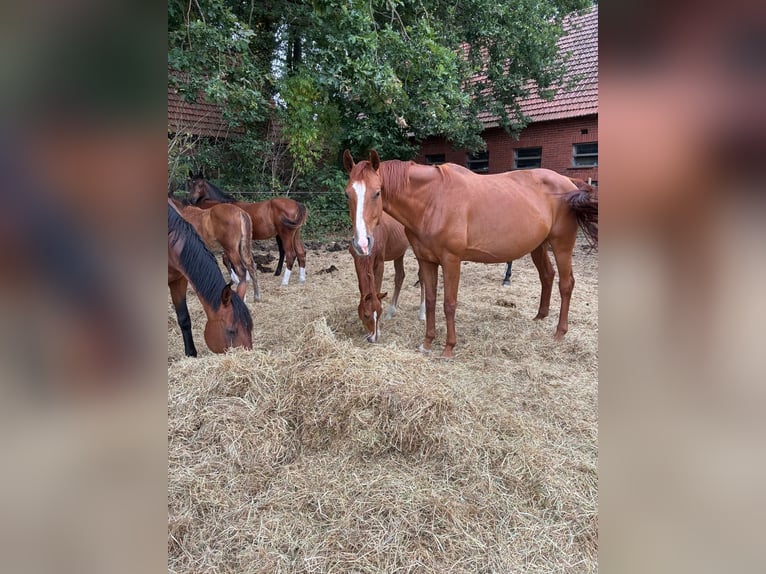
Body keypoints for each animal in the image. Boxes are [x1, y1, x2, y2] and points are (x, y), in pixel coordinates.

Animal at [348, 211, 426, 343]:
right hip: (399, 251)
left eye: (379, 313)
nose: (373, 338)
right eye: (366, 315)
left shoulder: (380, 262)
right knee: (400, 276)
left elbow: (377, 287)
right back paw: (391, 312)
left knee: (422, 276)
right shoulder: (356, 260)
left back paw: (422, 314)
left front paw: (378, 330)